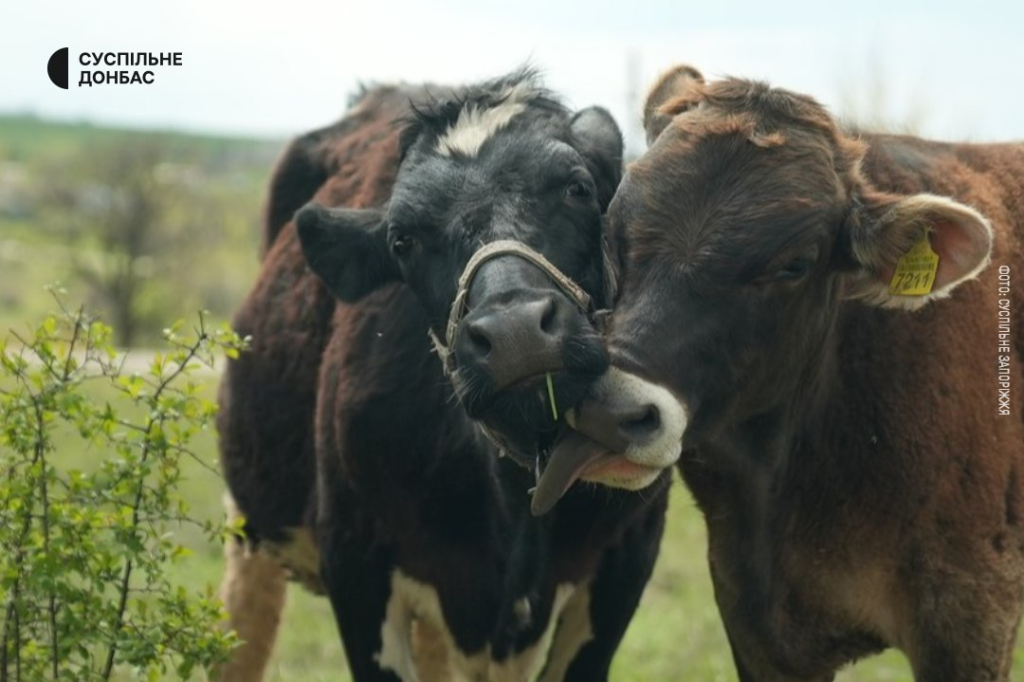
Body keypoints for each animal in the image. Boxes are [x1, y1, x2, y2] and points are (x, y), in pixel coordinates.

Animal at [215, 69, 671, 682]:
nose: (514, 331)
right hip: (248, 534)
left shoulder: (626, 560)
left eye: (577, 187)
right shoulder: (356, 566)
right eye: (402, 240)